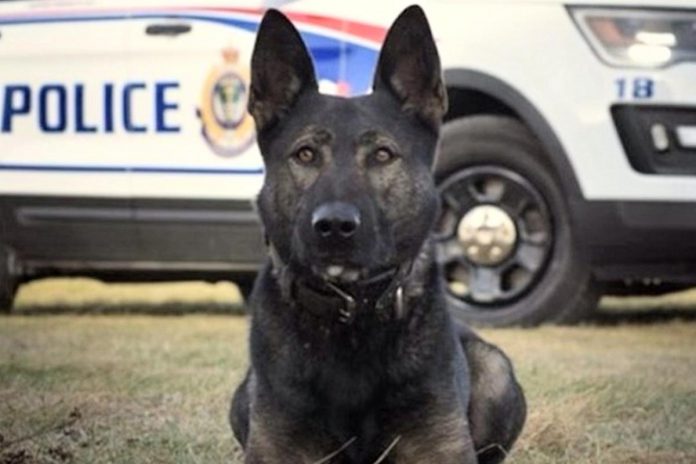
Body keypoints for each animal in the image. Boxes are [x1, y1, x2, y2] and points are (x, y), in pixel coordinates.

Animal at [231, 4, 524, 464]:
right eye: (305, 154)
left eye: (383, 154)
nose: (334, 226)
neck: (353, 316)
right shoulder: (275, 448)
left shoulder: (442, 449)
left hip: (496, 372)